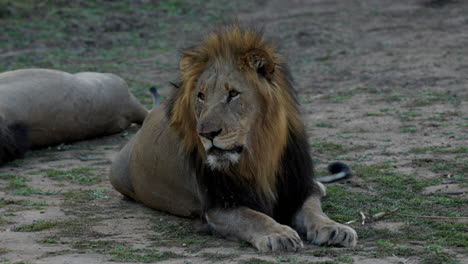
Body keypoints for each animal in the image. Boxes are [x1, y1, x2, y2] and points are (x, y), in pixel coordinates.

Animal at [109, 24, 358, 252]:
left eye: (233, 94)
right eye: (201, 96)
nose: (206, 134)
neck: (259, 155)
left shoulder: (296, 188)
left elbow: (312, 209)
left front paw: (334, 228)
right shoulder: (219, 207)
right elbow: (252, 216)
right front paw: (278, 234)